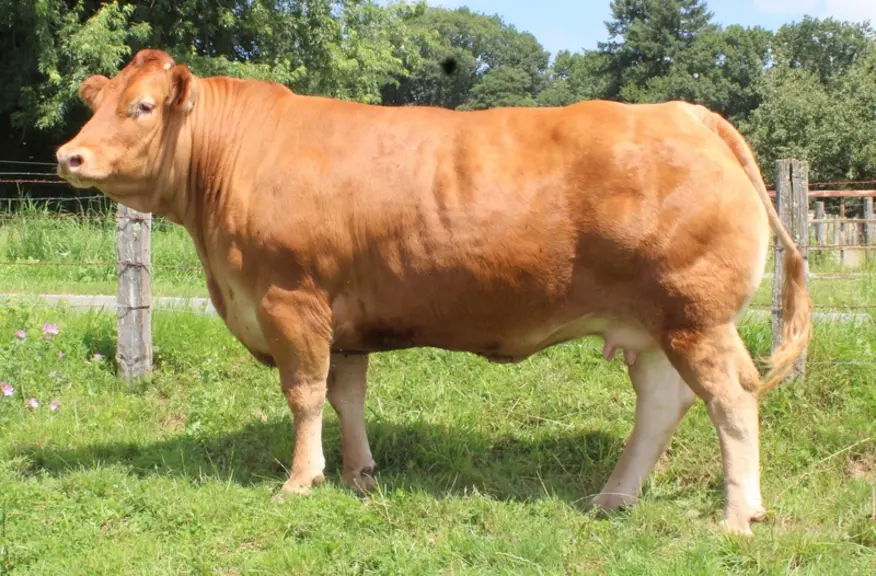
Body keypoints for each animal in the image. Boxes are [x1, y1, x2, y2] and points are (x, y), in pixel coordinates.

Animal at [56, 49, 811, 536]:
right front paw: (359, 473)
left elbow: (304, 395)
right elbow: (347, 395)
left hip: (695, 317)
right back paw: (613, 498)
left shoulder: (290, 300)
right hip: (653, 326)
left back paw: (737, 515)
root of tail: (684, 112)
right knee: (661, 404)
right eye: (99, 104)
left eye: (143, 106)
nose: (70, 155)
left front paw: (301, 480)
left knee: (731, 397)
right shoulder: (342, 317)